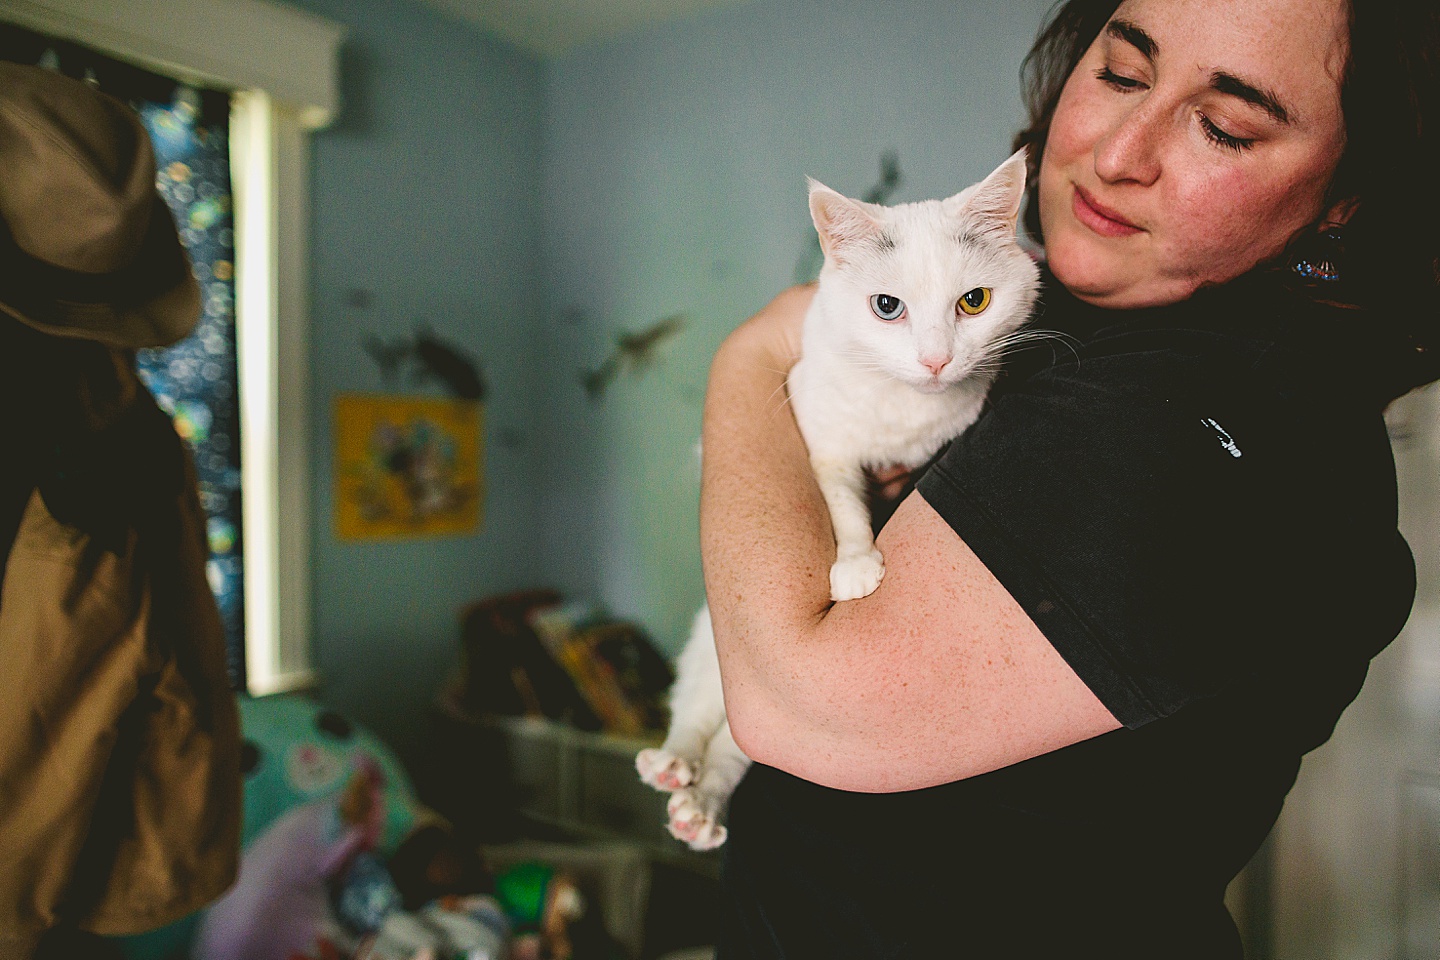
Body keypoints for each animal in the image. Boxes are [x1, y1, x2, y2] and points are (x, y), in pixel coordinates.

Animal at [636, 150, 1042, 846]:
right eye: (887, 306)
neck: (903, 415)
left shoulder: (941, 440)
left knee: (736, 747)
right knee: (696, 712)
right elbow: (844, 503)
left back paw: (699, 807)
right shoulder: (823, 436)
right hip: (714, 654)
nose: (936, 361)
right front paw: (855, 564)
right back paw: (673, 765)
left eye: (974, 301)